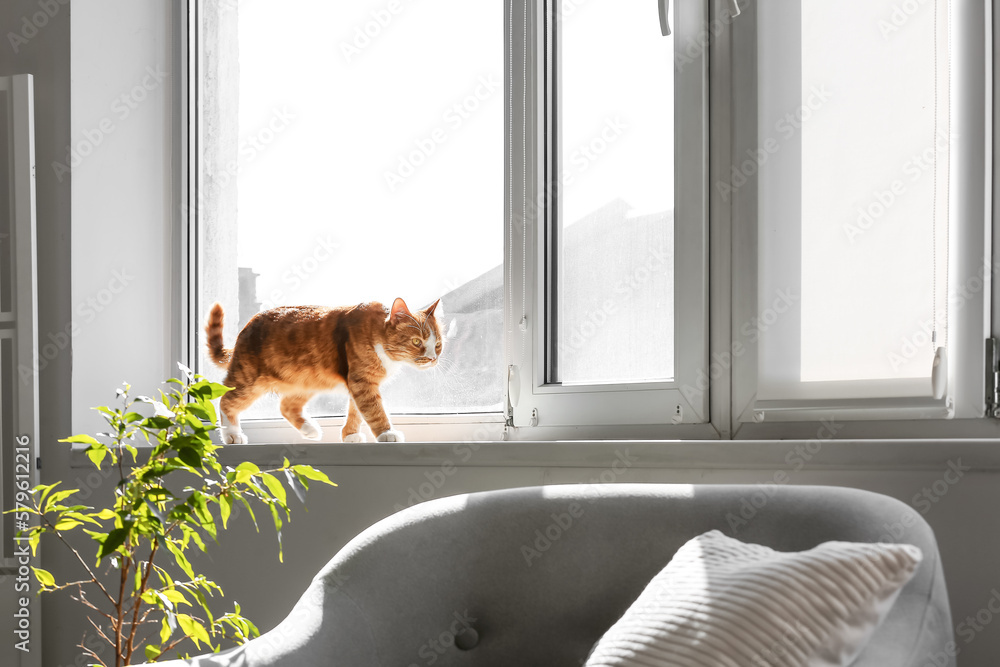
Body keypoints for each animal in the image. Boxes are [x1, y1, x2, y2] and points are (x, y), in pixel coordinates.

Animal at [205, 298, 444, 444]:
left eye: (438, 344)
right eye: (416, 341)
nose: (433, 358)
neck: (377, 336)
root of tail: (245, 328)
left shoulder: (358, 383)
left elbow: (356, 412)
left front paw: (350, 435)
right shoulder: (361, 382)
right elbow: (373, 410)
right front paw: (387, 433)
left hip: (306, 382)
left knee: (286, 406)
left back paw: (309, 429)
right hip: (249, 380)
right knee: (226, 400)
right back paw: (232, 435)